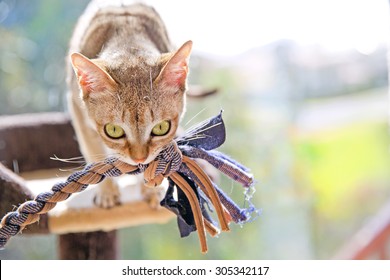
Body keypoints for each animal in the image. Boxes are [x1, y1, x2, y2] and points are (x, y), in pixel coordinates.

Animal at [68, 0, 195, 208]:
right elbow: (95, 153)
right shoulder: (77, 111)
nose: (139, 157)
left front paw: (151, 189)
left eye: (161, 128)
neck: (128, 39)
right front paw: (107, 192)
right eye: (113, 130)